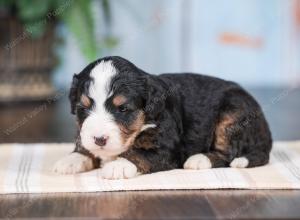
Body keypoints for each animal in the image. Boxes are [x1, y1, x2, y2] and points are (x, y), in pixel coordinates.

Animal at [52, 55, 274, 180]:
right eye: (83, 108)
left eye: (123, 109)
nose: (99, 139)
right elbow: (86, 147)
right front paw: (71, 160)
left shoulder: (167, 148)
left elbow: (140, 155)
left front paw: (117, 165)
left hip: (232, 114)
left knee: (229, 153)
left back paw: (200, 159)